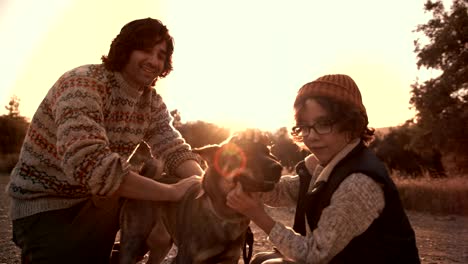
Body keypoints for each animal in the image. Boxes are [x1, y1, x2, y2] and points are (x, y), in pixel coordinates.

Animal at [119, 131, 284, 262]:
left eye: (268, 152)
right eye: (245, 152)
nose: (278, 167)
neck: (226, 215)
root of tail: (149, 178)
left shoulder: (230, 259)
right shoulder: (185, 258)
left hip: (161, 245)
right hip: (133, 243)